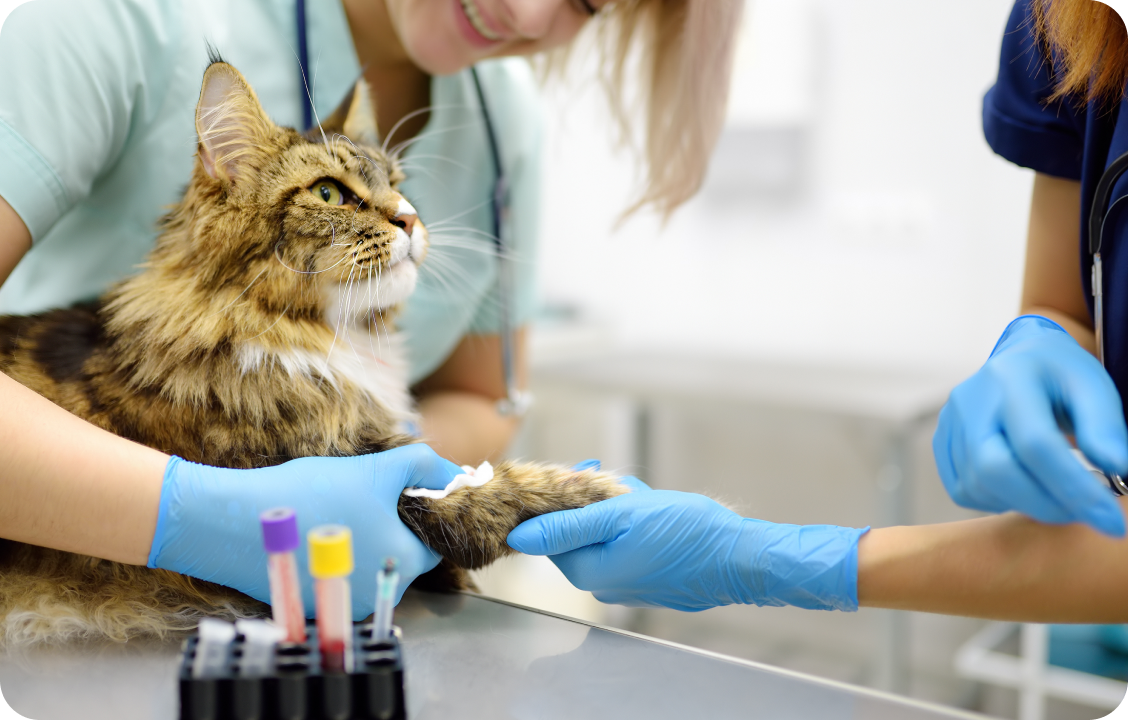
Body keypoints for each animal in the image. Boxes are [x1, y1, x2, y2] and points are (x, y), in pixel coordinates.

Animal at [0, 60, 627, 650]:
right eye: (329, 193)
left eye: (397, 183)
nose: (411, 218)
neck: (327, 341)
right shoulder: (369, 475)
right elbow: (499, 493)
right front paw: (609, 493)